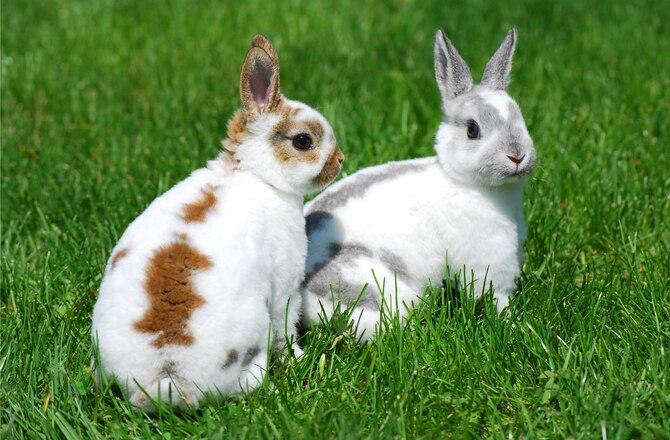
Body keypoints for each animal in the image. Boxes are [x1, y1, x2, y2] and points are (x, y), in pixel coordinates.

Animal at [91, 35, 344, 412]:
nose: (340, 160)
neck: (256, 174)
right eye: (303, 141)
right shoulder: (285, 284)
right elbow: (286, 328)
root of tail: (167, 378)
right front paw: (299, 358)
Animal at [302, 28, 535, 341]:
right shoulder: (490, 263)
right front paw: (514, 324)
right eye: (473, 130)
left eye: (520, 117)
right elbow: (496, 296)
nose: (517, 155)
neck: (461, 181)